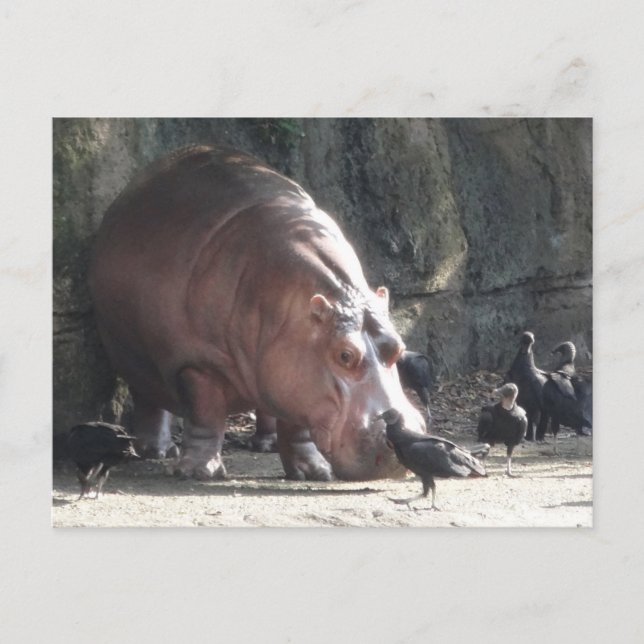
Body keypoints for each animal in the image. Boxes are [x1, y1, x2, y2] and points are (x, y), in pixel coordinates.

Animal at [89, 145, 425, 481]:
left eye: (398, 347)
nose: (404, 434)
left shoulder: (299, 375)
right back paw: (158, 451)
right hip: (134, 355)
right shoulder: (196, 364)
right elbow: (205, 415)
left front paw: (314, 472)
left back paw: (268, 445)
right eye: (345, 355)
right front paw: (199, 472)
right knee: (149, 398)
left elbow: (297, 427)